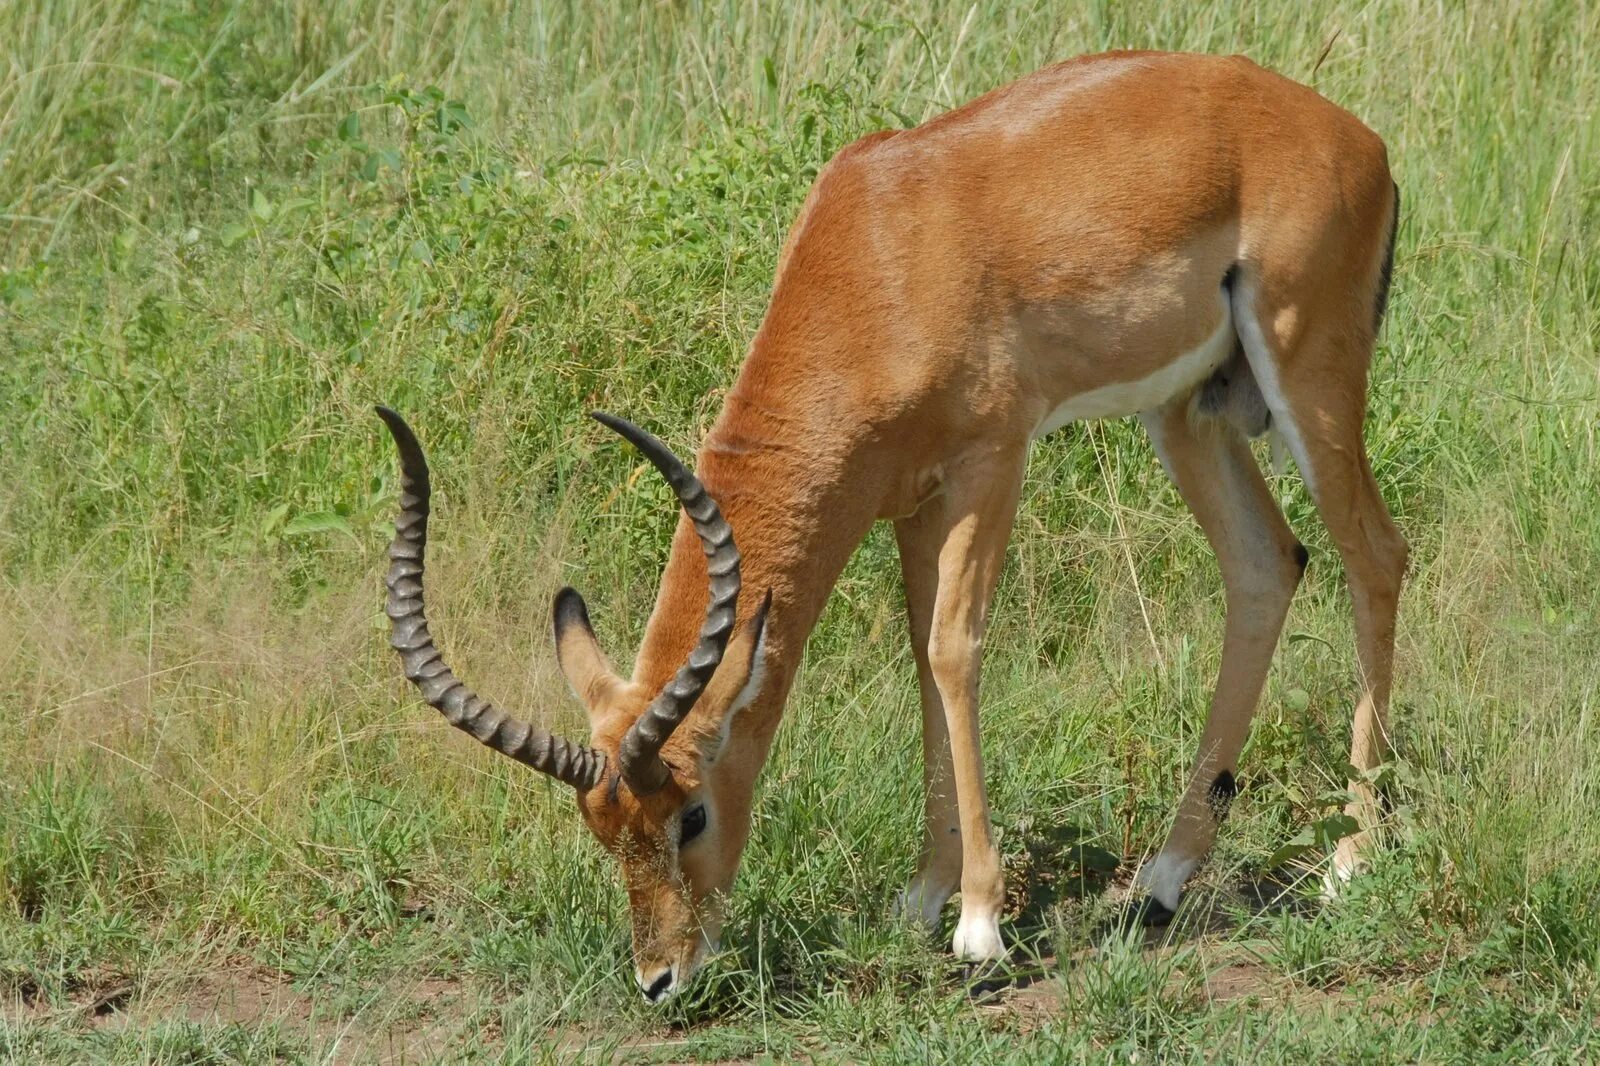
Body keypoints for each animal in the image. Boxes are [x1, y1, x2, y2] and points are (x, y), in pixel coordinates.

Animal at [371, 47, 1401, 998]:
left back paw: (1351, 862)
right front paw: (922, 897)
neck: (879, 254)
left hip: (1307, 372)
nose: (661, 976)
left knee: (1375, 554)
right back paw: (1164, 879)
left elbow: (955, 650)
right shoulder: (911, 500)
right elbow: (920, 662)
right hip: (1189, 409)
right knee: (1267, 564)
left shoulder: (992, 460)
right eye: (598, 825)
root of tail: (1358, 139)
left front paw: (981, 927)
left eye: (690, 811)